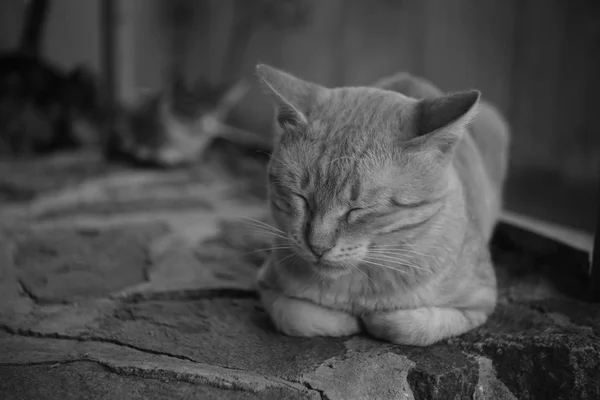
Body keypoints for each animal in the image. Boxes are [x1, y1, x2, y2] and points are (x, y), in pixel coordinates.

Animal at [253, 64, 510, 346]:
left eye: (359, 209)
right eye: (301, 198)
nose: (318, 247)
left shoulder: (480, 302)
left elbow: (403, 325)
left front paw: (373, 318)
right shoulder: (268, 285)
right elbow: (295, 316)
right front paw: (346, 320)